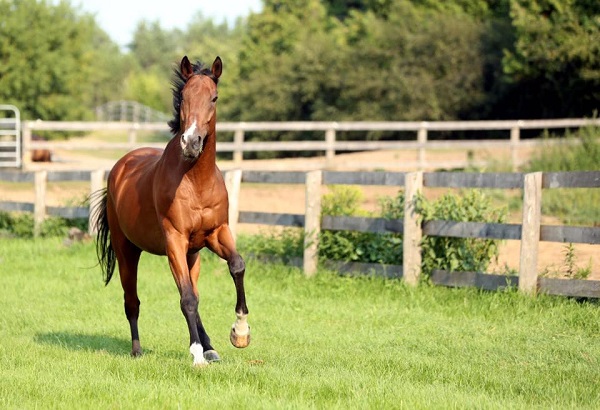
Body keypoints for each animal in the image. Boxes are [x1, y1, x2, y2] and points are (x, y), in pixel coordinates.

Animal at [95, 55, 250, 366]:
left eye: (214, 98)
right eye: (184, 98)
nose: (191, 142)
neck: (196, 179)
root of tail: (119, 168)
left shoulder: (216, 233)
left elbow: (236, 266)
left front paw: (240, 333)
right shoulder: (175, 240)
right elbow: (187, 298)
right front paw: (197, 355)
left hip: (192, 255)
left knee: (193, 292)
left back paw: (211, 347)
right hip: (127, 250)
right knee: (133, 301)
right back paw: (137, 350)